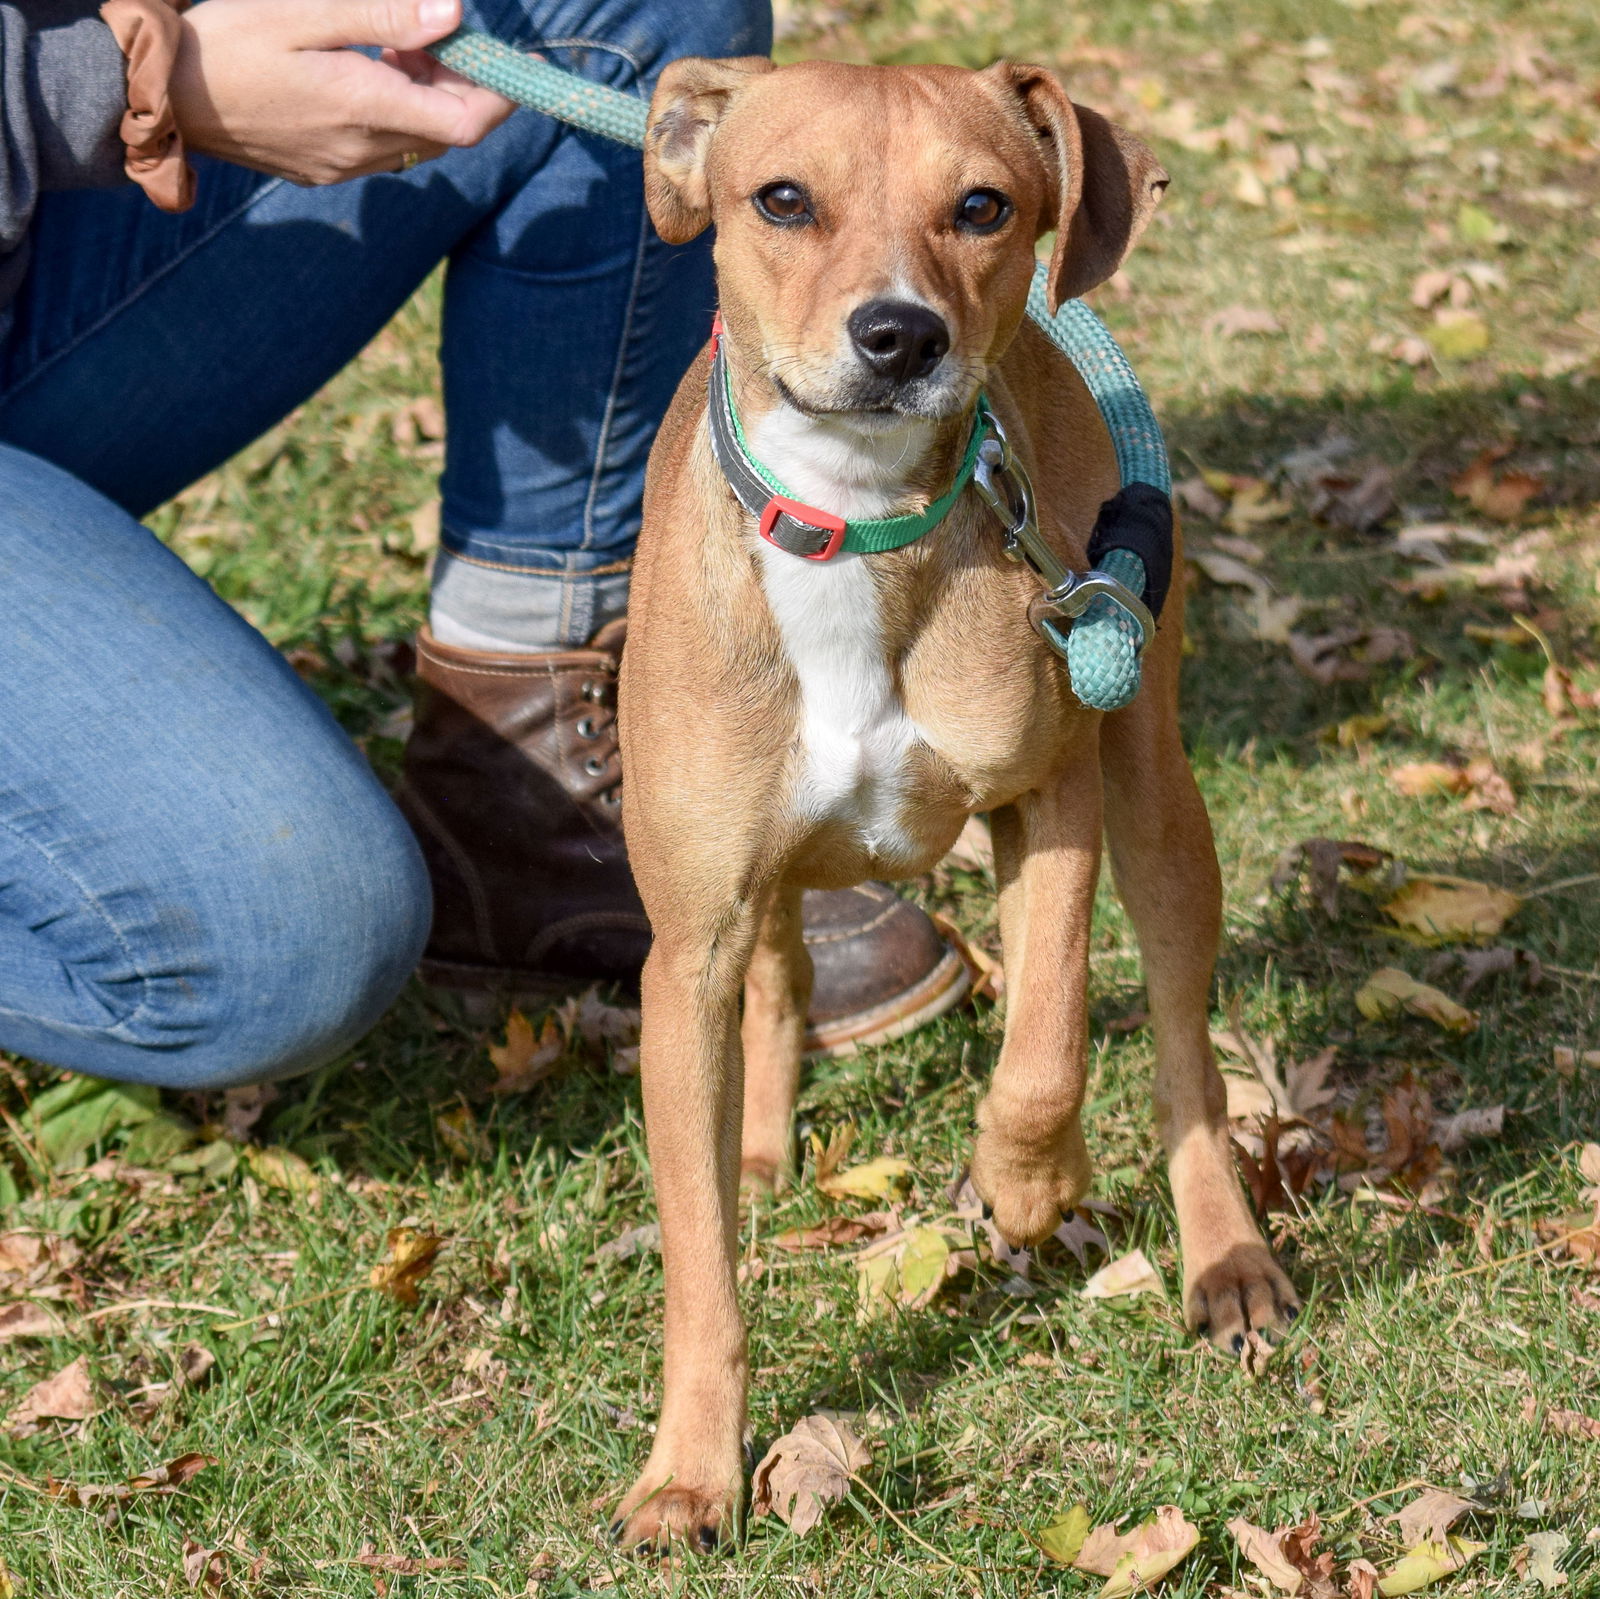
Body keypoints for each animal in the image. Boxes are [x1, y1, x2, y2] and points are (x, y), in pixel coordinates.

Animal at [611, 59, 1299, 1549]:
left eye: (983, 205)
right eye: (782, 199)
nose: (897, 334)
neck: (857, 526)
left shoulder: (1050, 804)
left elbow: (1043, 1051)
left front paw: (1028, 1185)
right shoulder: (687, 947)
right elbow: (700, 1265)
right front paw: (690, 1471)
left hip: (1158, 800)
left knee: (1181, 1053)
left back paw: (1222, 1255)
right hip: (764, 890)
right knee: (783, 979)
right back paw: (765, 1148)